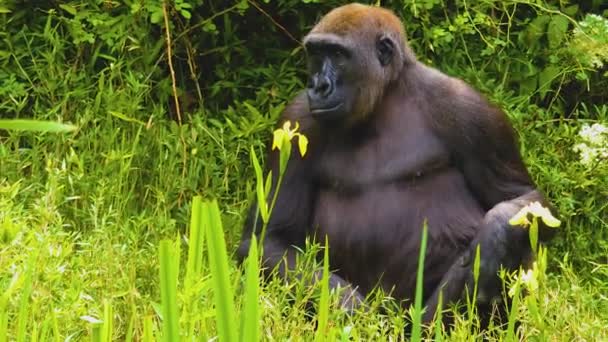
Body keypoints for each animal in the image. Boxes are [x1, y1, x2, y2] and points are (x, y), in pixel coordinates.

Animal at [236, 2, 556, 324]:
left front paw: (495, 237)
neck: (383, 100)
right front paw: (350, 310)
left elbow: (523, 198)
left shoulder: (469, 109)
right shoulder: (296, 119)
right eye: (315, 53)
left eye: (338, 55)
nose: (318, 86)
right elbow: (267, 238)